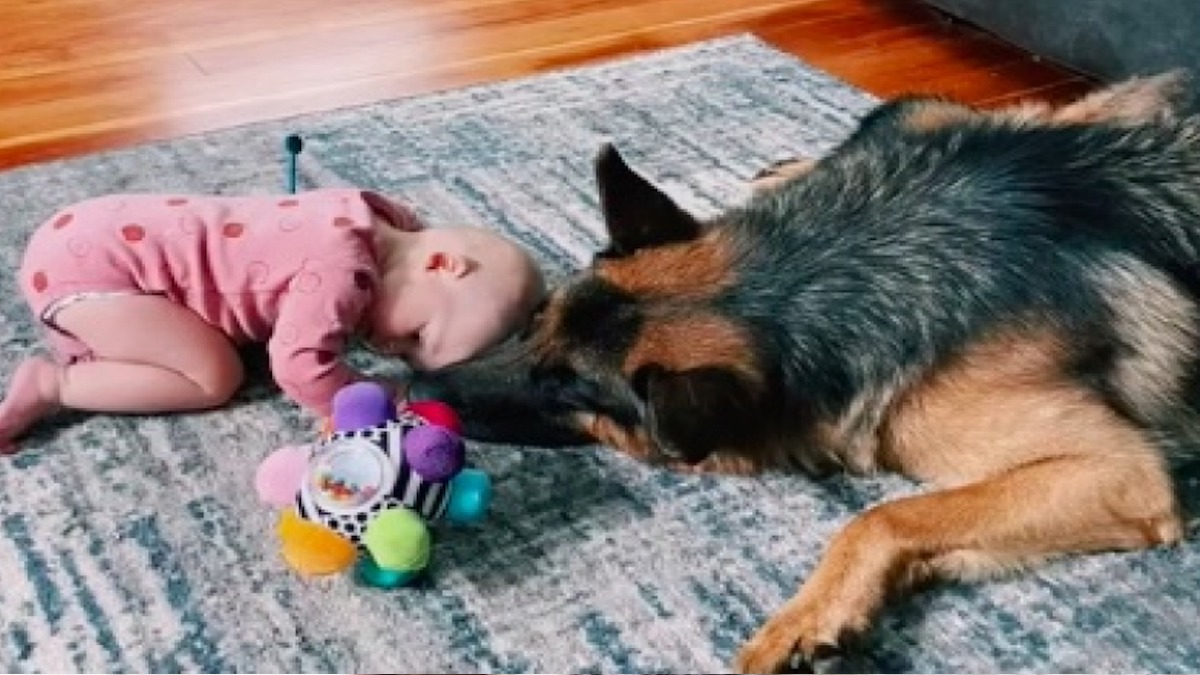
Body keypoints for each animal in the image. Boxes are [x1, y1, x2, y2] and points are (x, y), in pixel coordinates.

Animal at [410, 70, 1200, 667]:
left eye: (566, 389)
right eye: (534, 323)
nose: (416, 387)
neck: (807, 276)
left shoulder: (1119, 473)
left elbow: (883, 516)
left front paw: (810, 613)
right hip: (935, 118)